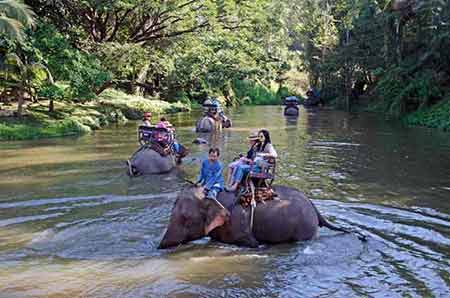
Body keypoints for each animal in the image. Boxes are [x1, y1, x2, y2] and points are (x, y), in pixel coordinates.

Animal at [158, 185, 352, 248]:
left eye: (186, 219)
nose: (159, 247)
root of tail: (314, 207)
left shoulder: (240, 225)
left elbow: (253, 244)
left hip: (305, 227)